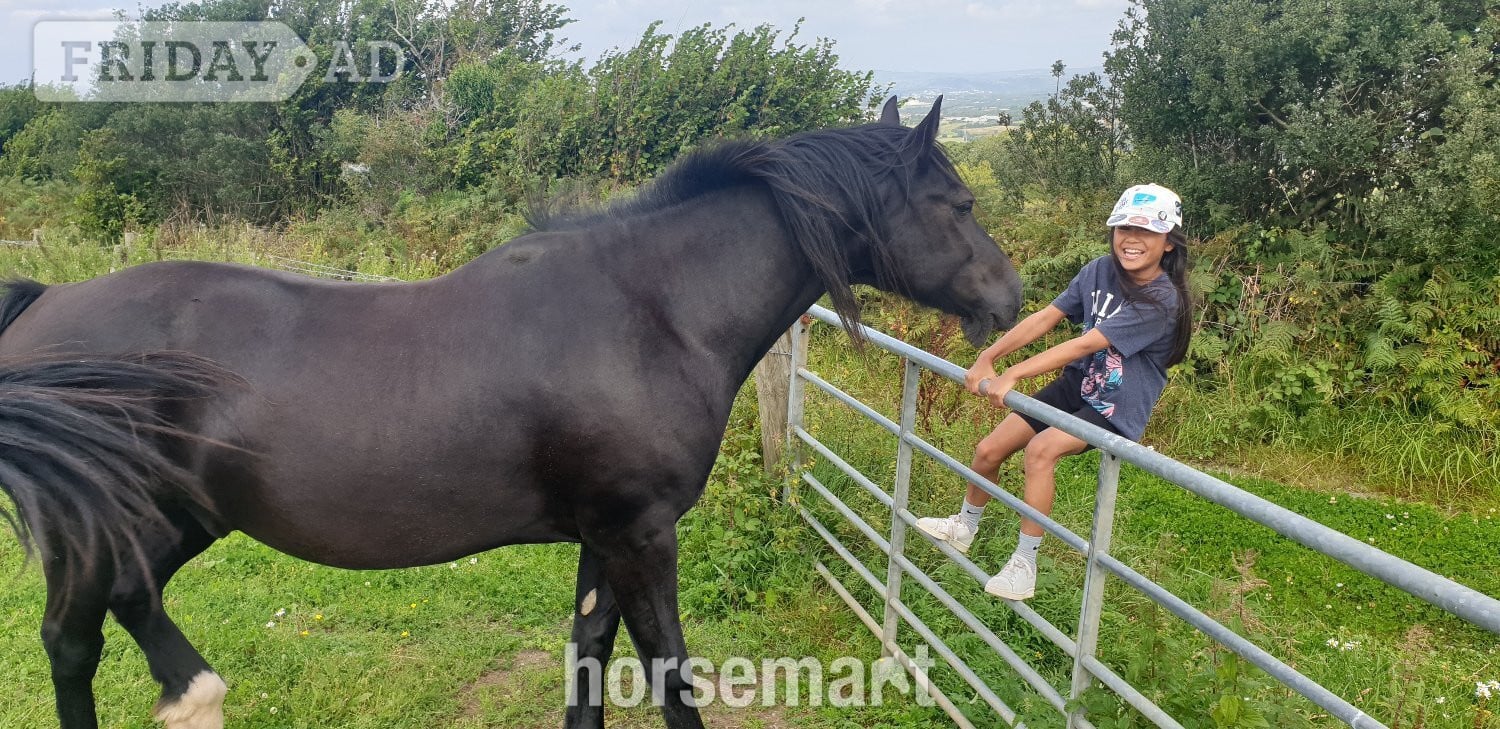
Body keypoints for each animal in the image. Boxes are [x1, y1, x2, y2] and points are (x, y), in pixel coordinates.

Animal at [0, 96, 1022, 729]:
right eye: (957, 200)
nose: (1009, 299)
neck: (651, 310)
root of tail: (42, 307)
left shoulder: (604, 538)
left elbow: (588, 662)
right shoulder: (643, 534)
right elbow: (669, 675)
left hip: (177, 518)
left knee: (120, 609)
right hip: (103, 525)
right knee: (75, 639)